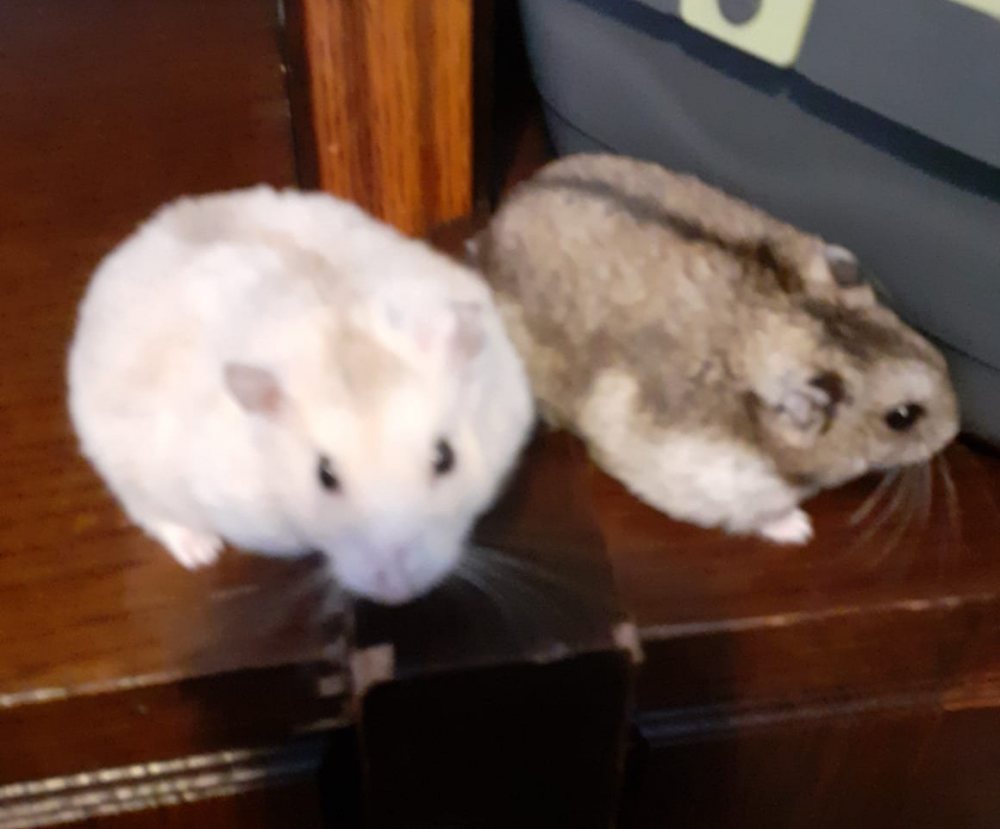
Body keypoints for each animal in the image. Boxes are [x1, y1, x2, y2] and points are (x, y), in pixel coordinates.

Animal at [67, 186, 534, 604]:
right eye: (324, 476)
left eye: (445, 457)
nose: (398, 595)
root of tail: (143, 234)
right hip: (128, 466)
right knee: (152, 513)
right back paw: (202, 552)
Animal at [474, 154, 959, 544]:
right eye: (902, 418)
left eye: (931, 350)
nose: (955, 430)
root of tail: (491, 229)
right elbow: (759, 513)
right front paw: (801, 530)